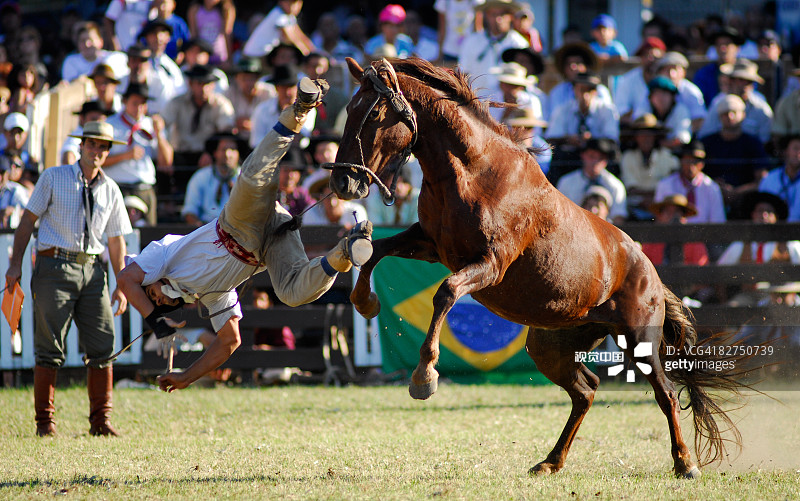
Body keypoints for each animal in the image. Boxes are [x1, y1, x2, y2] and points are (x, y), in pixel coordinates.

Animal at [326, 57, 744, 478]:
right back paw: (550, 461)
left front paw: (424, 376)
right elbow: (374, 251)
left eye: (374, 113)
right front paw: (365, 302)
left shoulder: (489, 265)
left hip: (639, 339)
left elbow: (445, 292)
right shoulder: (430, 245)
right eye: (348, 109)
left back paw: (685, 463)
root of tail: (651, 275)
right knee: (585, 390)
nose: (343, 181)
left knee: (666, 393)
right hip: (551, 345)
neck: (473, 173)